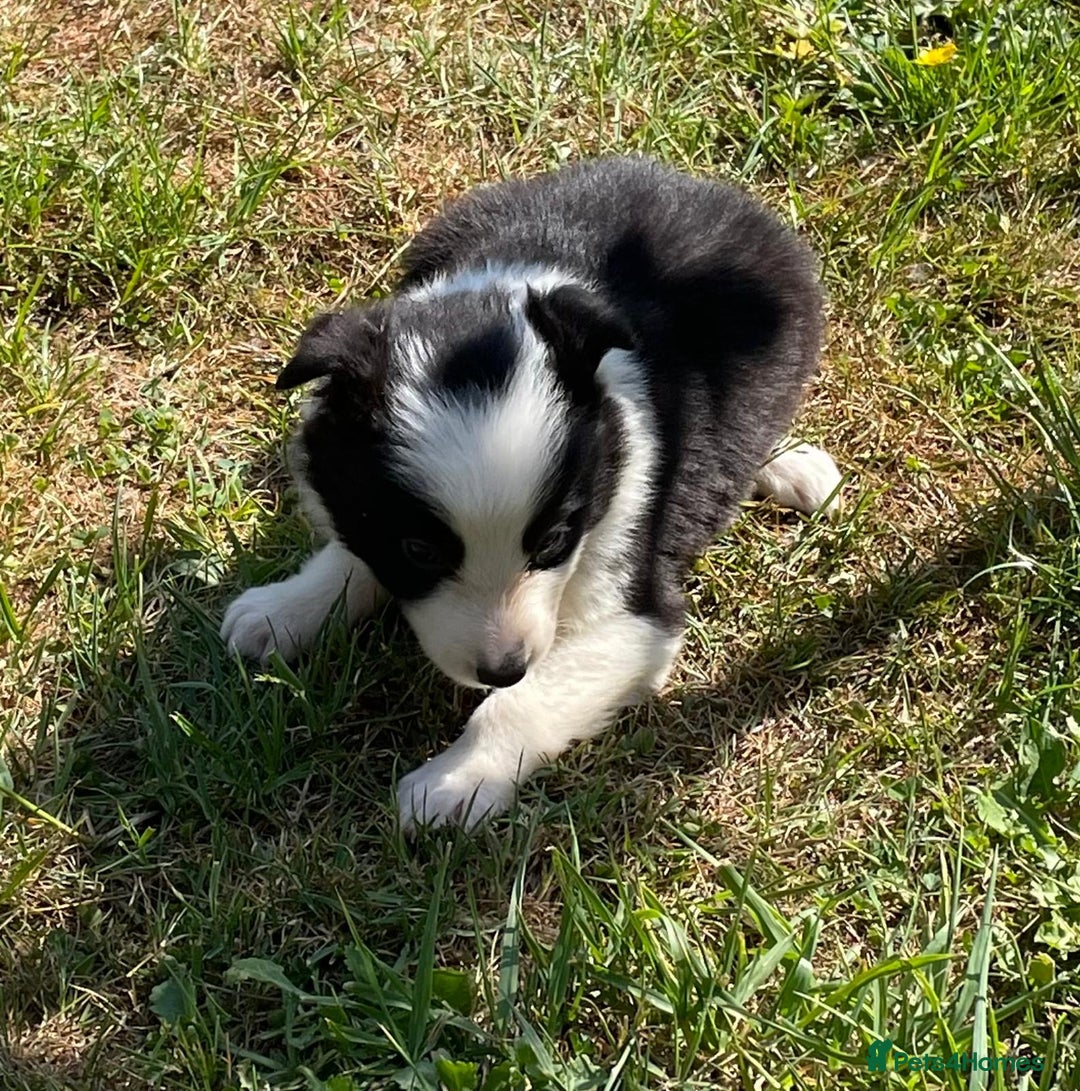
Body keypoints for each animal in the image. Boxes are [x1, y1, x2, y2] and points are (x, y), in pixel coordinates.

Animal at [221, 156, 842, 831]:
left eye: (553, 542)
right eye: (420, 551)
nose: (504, 669)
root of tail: (687, 181)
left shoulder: (634, 599)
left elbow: (524, 704)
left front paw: (454, 784)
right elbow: (355, 550)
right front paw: (283, 610)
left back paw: (790, 467)